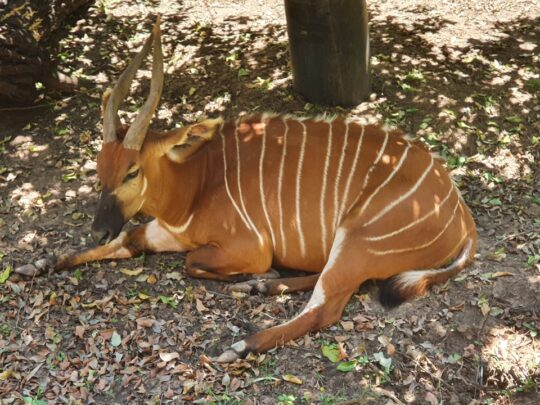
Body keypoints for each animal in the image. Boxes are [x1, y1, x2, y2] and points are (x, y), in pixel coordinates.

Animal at [21, 18, 476, 360]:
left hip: (358, 238)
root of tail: (462, 214)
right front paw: (38, 264)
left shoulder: (247, 246)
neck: (196, 182)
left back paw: (242, 342)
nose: (98, 228)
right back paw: (259, 289)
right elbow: (130, 241)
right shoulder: (165, 230)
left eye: (132, 171)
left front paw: (259, 274)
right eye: (100, 166)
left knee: (326, 308)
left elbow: (192, 263)